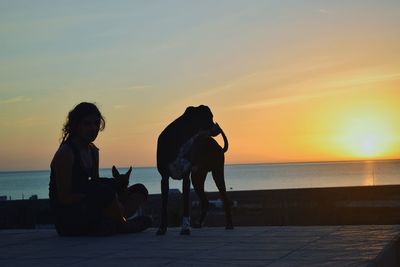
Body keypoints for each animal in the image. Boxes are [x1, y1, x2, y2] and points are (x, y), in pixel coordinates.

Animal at [155, 105, 231, 236]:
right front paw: (162, 229)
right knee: (205, 202)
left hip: (217, 172)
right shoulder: (164, 178)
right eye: (210, 116)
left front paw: (185, 229)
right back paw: (199, 224)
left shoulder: (186, 178)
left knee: (225, 199)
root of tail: (218, 147)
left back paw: (229, 225)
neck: (181, 138)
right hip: (197, 177)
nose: (218, 129)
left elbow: (186, 206)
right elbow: (164, 206)